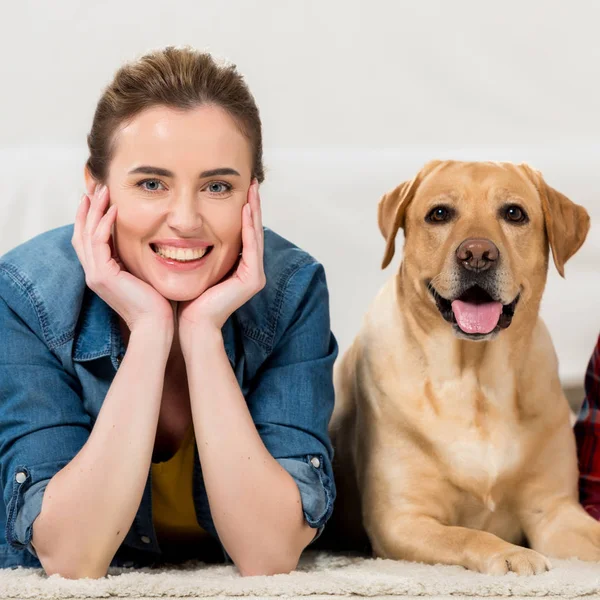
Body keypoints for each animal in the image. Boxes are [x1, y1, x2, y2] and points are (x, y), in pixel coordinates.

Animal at [330, 161, 596, 576]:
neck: (475, 381)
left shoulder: (555, 512)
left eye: (514, 213)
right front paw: (514, 554)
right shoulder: (401, 520)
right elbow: (467, 535)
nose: (477, 254)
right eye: (439, 213)